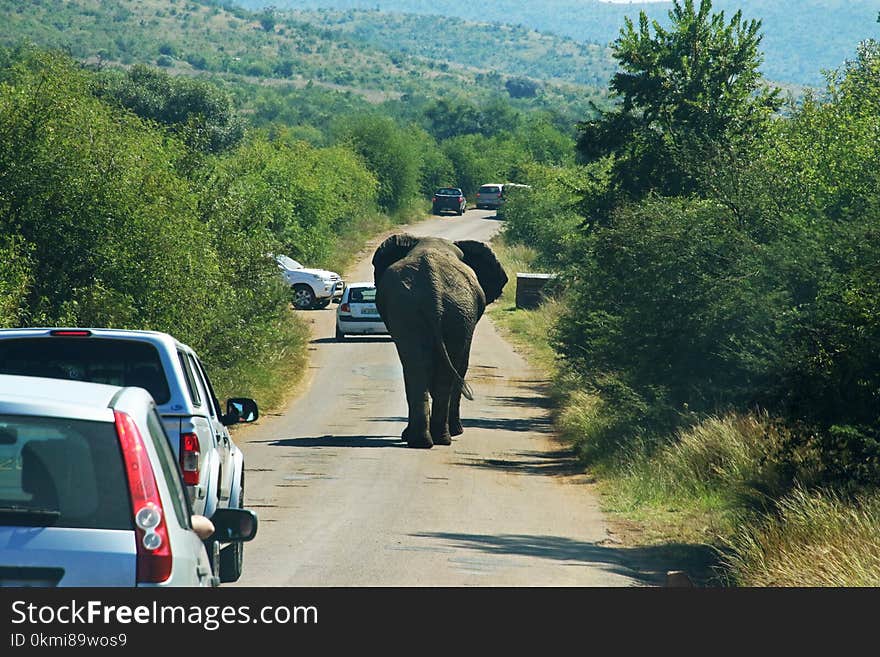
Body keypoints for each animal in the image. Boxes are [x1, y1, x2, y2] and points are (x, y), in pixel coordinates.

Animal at [372, 233, 508, 448]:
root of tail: (432, 289)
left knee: (418, 369)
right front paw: (457, 431)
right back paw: (441, 438)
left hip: (418, 311)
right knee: (440, 371)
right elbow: (461, 366)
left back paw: (425, 441)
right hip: (452, 312)